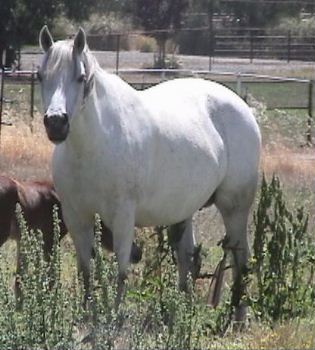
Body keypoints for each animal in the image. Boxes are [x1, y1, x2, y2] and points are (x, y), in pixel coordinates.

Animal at [0, 174, 141, 300]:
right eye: (111, 224)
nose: (137, 254)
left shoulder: (23, 240)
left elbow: (20, 281)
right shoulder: (50, 239)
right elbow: (50, 278)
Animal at [39, 26, 262, 322]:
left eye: (80, 77)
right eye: (41, 76)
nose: (56, 123)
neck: (92, 146)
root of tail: (243, 108)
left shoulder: (122, 217)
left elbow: (121, 271)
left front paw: (112, 319)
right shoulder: (76, 216)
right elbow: (86, 271)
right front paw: (86, 316)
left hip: (234, 207)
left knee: (240, 259)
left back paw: (237, 317)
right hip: (183, 210)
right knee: (188, 259)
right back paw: (179, 314)